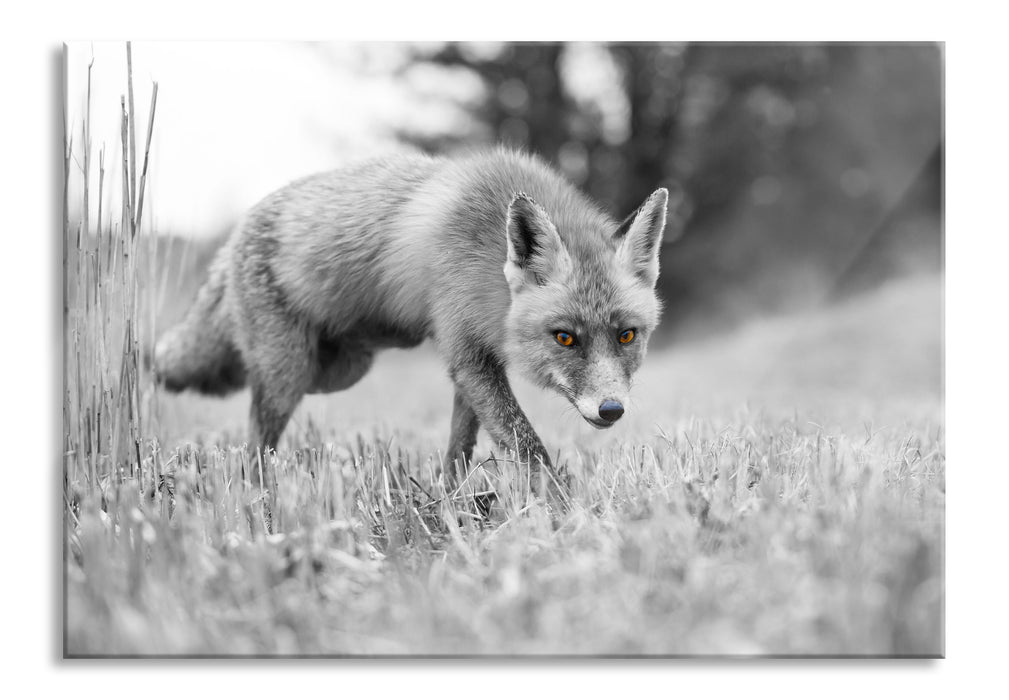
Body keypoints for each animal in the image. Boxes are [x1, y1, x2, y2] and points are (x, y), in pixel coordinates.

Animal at [154, 147, 668, 484]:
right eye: (565, 338)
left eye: (626, 336)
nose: (611, 409)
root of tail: (234, 234)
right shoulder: (467, 353)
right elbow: (527, 446)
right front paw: (559, 510)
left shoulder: (473, 362)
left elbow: (461, 447)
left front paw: (452, 502)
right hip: (290, 375)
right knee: (254, 439)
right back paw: (255, 493)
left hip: (337, 369)